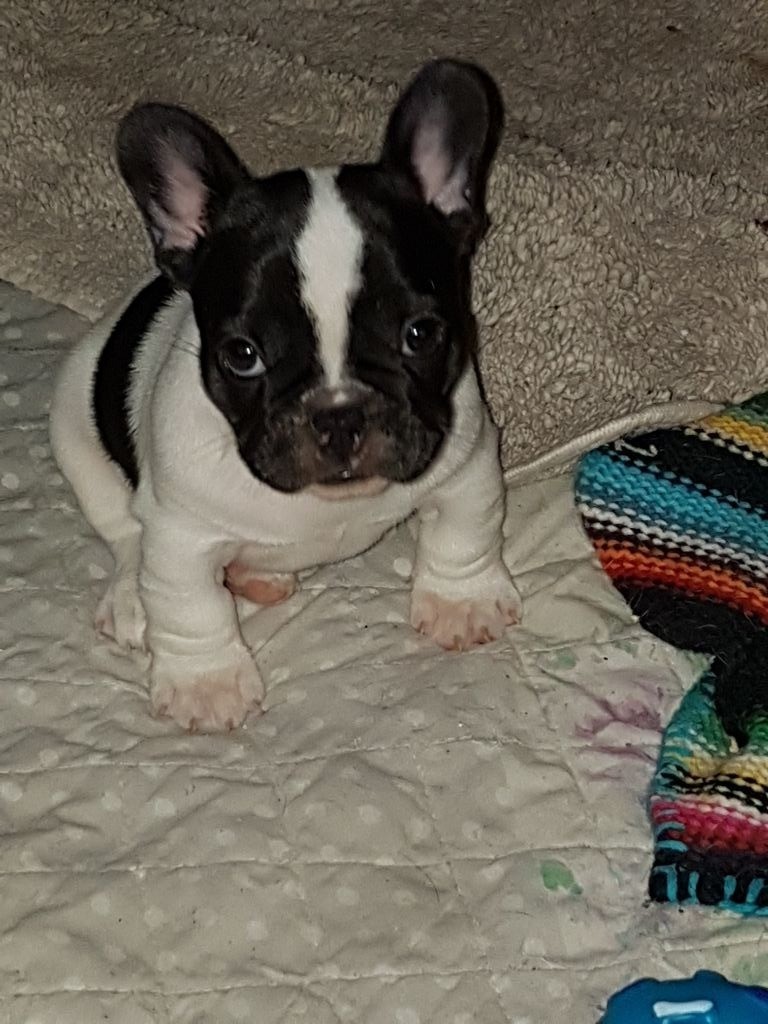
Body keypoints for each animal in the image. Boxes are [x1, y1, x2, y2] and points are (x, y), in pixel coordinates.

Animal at [49, 58, 522, 732]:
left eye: (420, 334)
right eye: (242, 356)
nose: (339, 416)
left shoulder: (467, 458)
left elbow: (466, 530)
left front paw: (464, 602)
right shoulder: (180, 532)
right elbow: (189, 605)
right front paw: (206, 684)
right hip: (74, 424)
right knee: (122, 531)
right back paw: (134, 597)